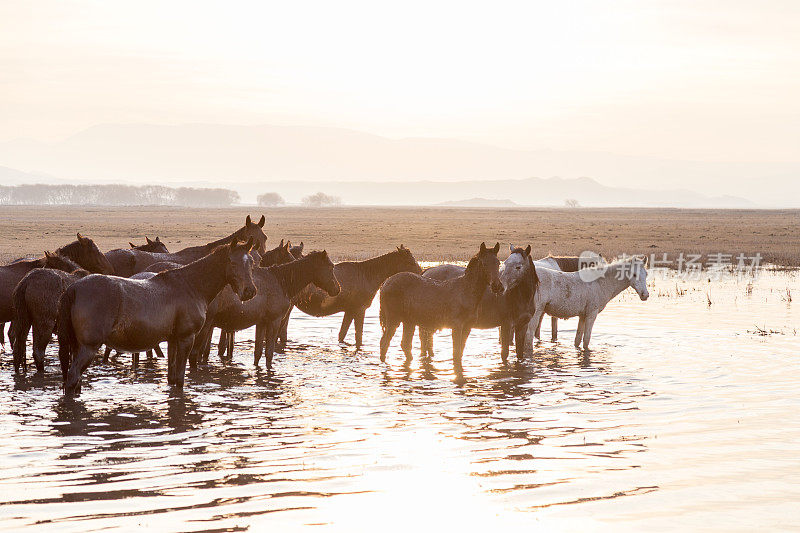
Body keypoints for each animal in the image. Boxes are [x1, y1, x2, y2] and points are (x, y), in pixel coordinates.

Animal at [56, 238, 256, 394]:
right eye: (232, 262)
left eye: (251, 262)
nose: (249, 291)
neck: (190, 285)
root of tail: (73, 288)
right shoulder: (186, 339)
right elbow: (180, 379)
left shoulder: (173, 340)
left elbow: (172, 378)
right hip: (88, 347)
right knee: (72, 378)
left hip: (77, 346)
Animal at [191, 250, 340, 370]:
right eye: (330, 266)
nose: (337, 289)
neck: (283, 283)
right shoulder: (275, 321)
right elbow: (269, 353)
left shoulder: (261, 322)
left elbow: (258, 353)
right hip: (206, 326)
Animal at [290, 245, 422, 350]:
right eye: (409, 261)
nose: (421, 272)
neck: (367, 275)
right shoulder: (360, 309)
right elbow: (359, 336)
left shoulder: (349, 310)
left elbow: (342, 334)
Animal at [520, 254, 648, 350]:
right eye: (634, 274)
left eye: (646, 274)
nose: (645, 295)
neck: (599, 282)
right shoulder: (591, 314)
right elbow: (586, 339)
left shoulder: (582, 316)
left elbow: (577, 339)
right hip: (536, 313)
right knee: (529, 335)